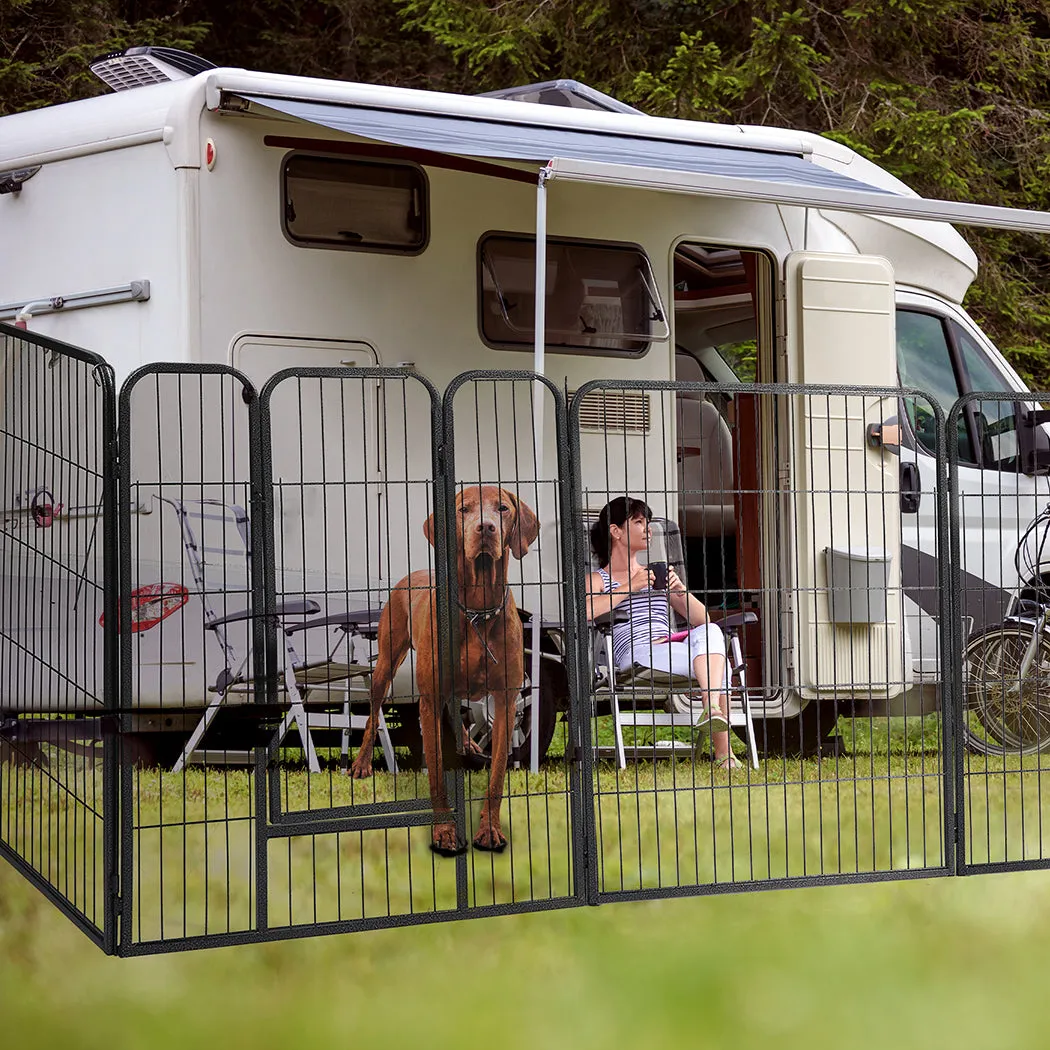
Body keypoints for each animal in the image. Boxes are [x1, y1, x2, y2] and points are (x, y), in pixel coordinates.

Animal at [350, 482, 537, 852]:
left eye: (503, 508)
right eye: (464, 509)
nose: (486, 528)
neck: (477, 610)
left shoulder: (506, 700)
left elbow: (497, 775)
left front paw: (490, 829)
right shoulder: (429, 698)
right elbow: (435, 770)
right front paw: (444, 831)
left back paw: (467, 743)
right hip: (385, 664)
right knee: (374, 712)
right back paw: (362, 764)